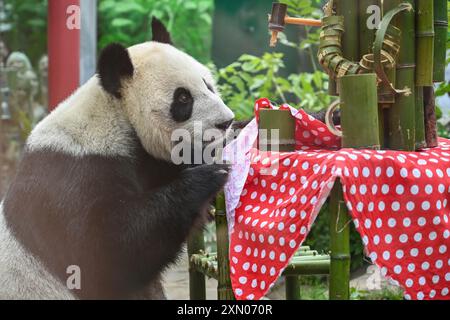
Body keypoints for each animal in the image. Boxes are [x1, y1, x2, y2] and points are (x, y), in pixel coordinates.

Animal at [0, 19, 236, 300]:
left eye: (208, 85)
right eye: (183, 98)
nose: (226, 121)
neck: (116, 115)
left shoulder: (145, 163)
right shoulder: (72, 177)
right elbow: (108, 251)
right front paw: (208, 175)